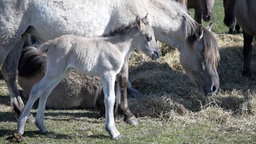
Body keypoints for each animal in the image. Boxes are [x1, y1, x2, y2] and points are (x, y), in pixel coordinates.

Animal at [13, 16, 160, 141]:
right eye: (148, 37)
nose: (158, 53)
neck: (115, 46)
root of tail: (51, 43)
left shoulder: (106, 76)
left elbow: (109, 99)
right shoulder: (108, 74)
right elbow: (110, 99)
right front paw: (113, 132)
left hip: (60, 74)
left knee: (45, 92)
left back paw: (42, 126)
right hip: (54, 73)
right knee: (37, 89)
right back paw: (21, 127)